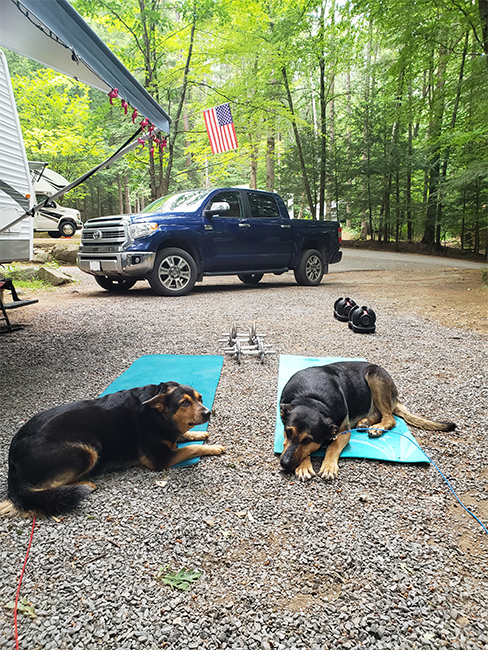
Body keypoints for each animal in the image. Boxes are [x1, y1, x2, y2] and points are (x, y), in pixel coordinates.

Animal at [0, 380, 225, 516]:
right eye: (184, 403)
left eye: (200, 398)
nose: (208, 413)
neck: (156, 414)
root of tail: (13, 464)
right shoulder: (160, 459)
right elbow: (191, 449)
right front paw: (213, 448)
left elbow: (184, 436)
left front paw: (198, 434)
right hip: (86, 449)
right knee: (42, 489)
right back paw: (84, 484)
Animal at [280, 360, 456, 480]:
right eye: (288, 432)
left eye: (307, 440)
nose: (284, 463)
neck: (313, 399)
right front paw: (304, 465)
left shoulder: (343, 431)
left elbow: (332, 446)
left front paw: (328, 466)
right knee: (381, 414)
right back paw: (365, 422)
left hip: (374, 376)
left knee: (390, 418)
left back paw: (377, 428)